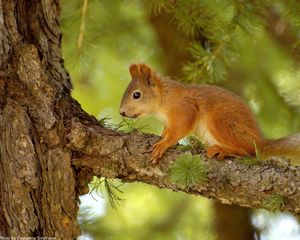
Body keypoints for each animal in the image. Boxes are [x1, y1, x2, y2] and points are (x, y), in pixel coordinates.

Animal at [119, 62, 300, 166]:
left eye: (136, 95)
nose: (121, 112)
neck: (164, 99)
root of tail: (259, 141)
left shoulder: (185, 109)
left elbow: (180, 129)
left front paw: (163, 144)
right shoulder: (168, 122)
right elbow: (167, 131)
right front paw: (161, 137)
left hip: (220, 122)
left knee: (249, 151)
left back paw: (223, 150)